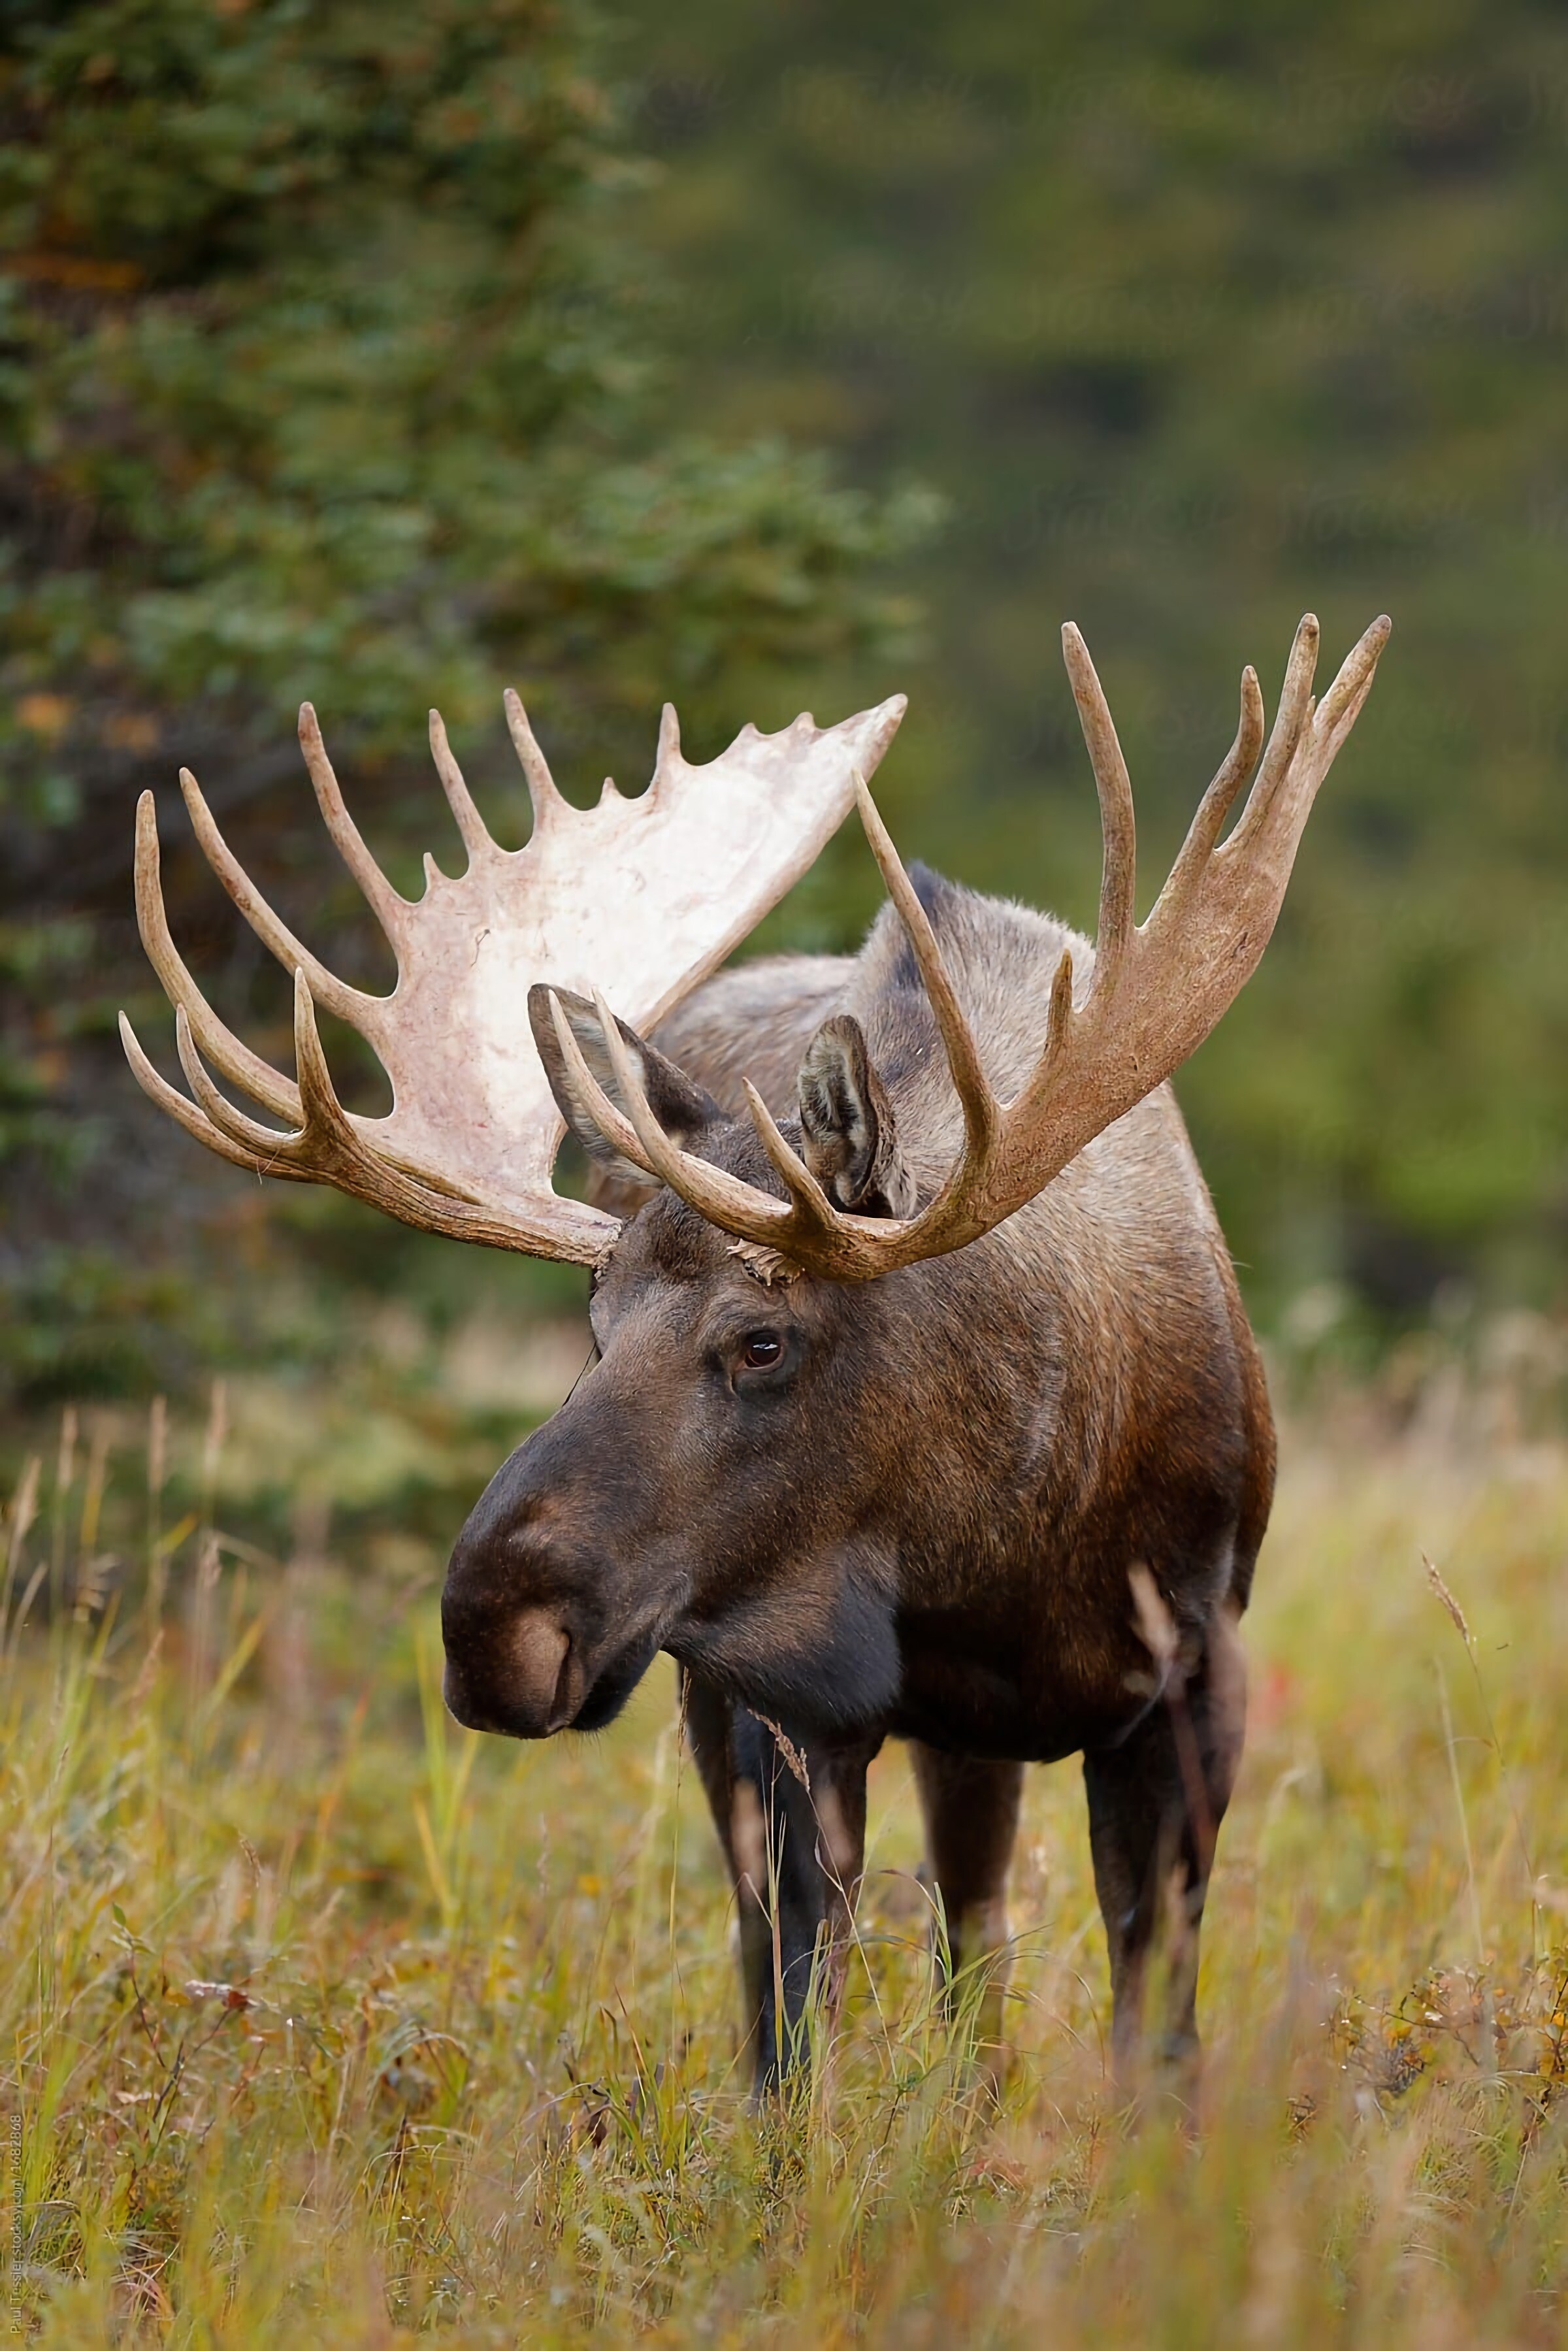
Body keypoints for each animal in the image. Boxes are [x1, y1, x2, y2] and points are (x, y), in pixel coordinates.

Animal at [123, 611, 1382, 2097]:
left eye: (764, 1337)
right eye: (590, 1317)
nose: (494, 1626)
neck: (1002, 1537)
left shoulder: (1191, 1668)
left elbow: (1157, 2031)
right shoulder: (778, 1696)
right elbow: (795, 2037)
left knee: (974, 1923)